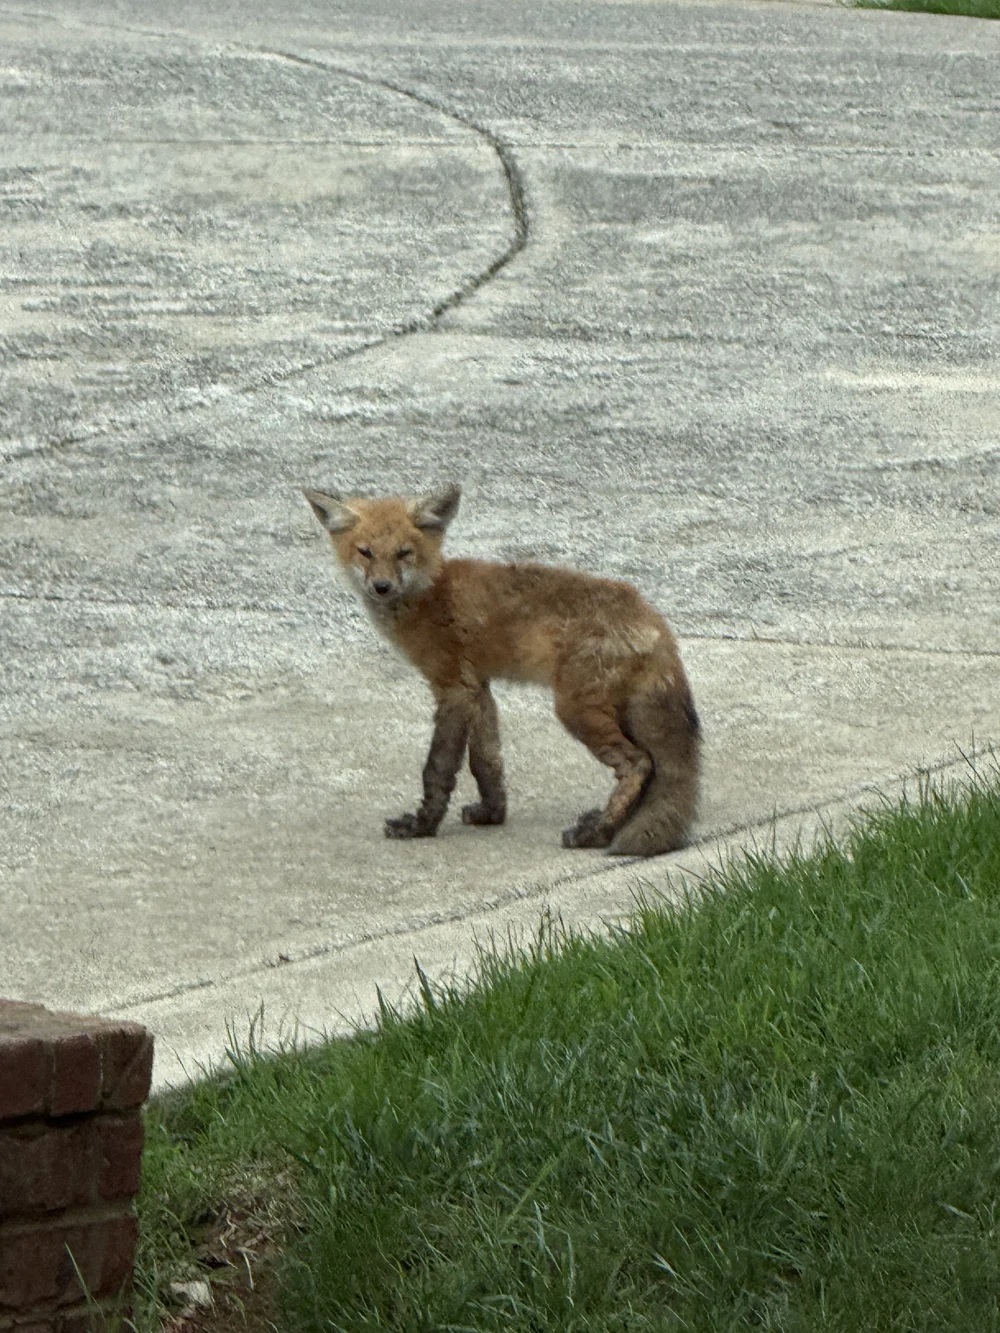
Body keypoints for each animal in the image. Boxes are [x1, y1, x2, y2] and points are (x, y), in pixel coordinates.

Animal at [304, 483, 700, 856]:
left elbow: (438, 768)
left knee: (639, 763)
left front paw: (422, 824)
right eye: (365, 552)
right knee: (651, 767)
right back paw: (610, 822)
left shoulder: (452, 687)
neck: (431, 594)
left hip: (577, 710)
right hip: (618, 711)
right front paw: (492, 813)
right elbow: (487, 760)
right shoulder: (478, 686)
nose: (382, 587)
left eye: (403, 553)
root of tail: (653, 618)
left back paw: (599, 832)